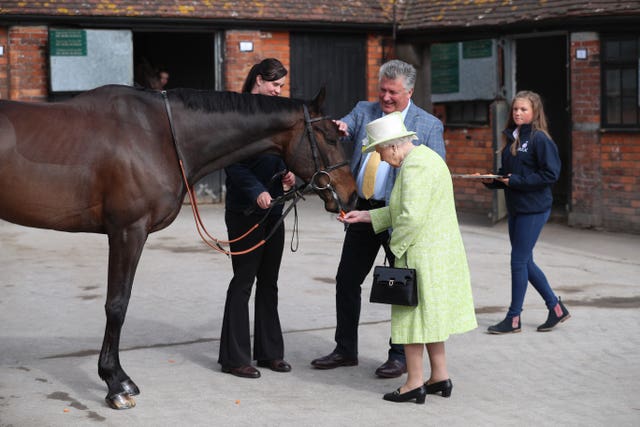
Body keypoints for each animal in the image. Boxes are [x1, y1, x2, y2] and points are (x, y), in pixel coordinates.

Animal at [0, 85, 358, 410]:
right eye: (330, 137)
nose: (352, 195)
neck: (158, 135)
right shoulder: (127, 231)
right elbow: (117, 305)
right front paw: (116, 383)